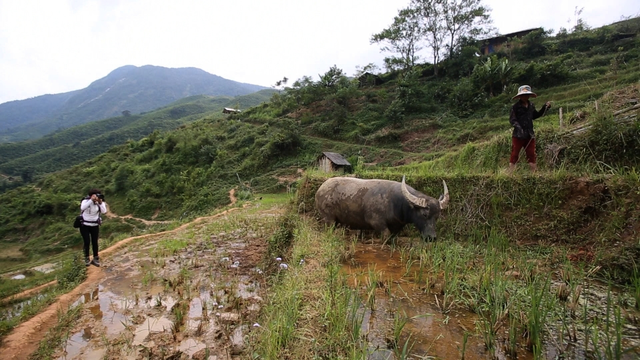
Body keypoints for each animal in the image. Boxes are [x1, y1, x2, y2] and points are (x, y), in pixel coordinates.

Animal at [316, 176, 450, 240]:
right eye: (424, 214)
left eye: (437, 216)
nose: (431, 238)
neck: (396, 203)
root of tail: (320, 189)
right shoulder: (377, 223)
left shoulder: (397, 227)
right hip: (329, 219)